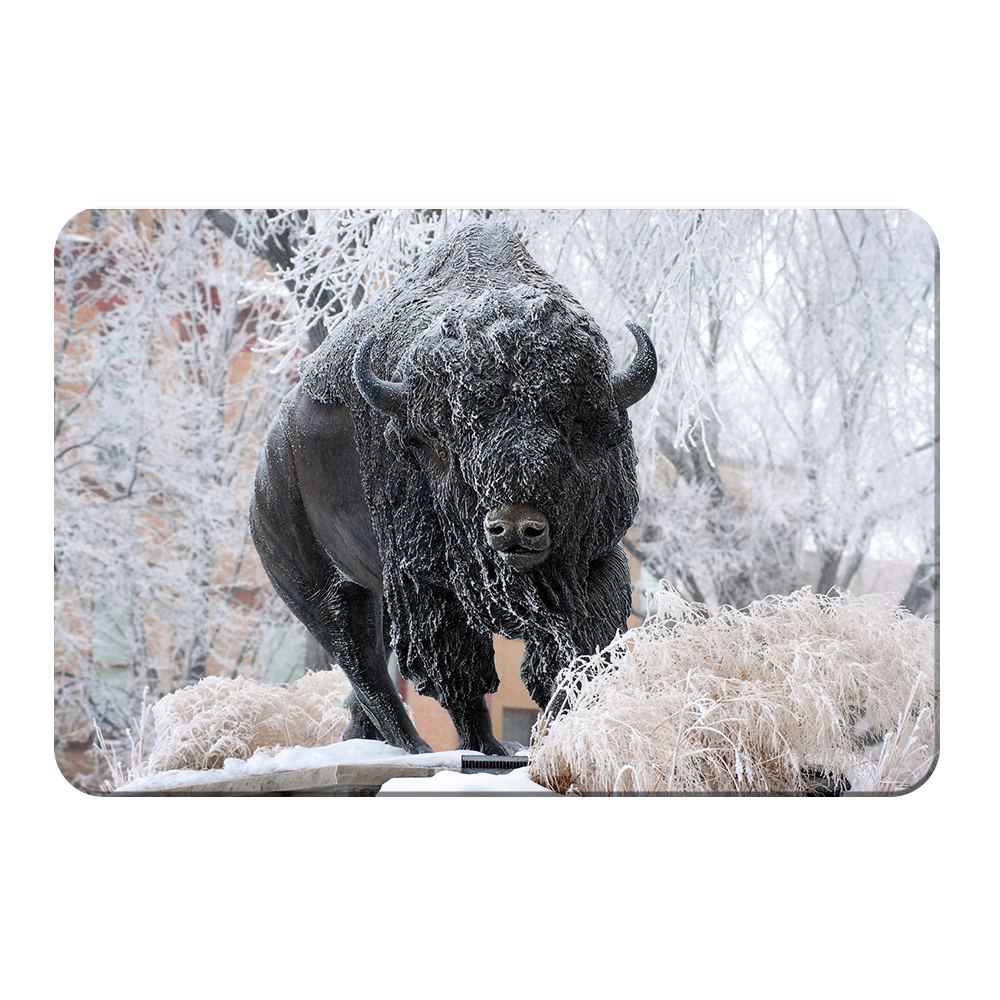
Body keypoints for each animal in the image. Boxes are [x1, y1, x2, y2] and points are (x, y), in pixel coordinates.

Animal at [249, 222, 657, 755]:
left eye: (573, 425)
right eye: (445, 438)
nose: (514, 528)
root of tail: (267, 470)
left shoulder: (596, 558)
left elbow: (582, 648)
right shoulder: (427, 585)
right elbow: (460, 675)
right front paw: (488, 749)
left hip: (377, 593)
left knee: (371, 666)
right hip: (321, 590)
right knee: (363, 663)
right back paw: (414, 749)